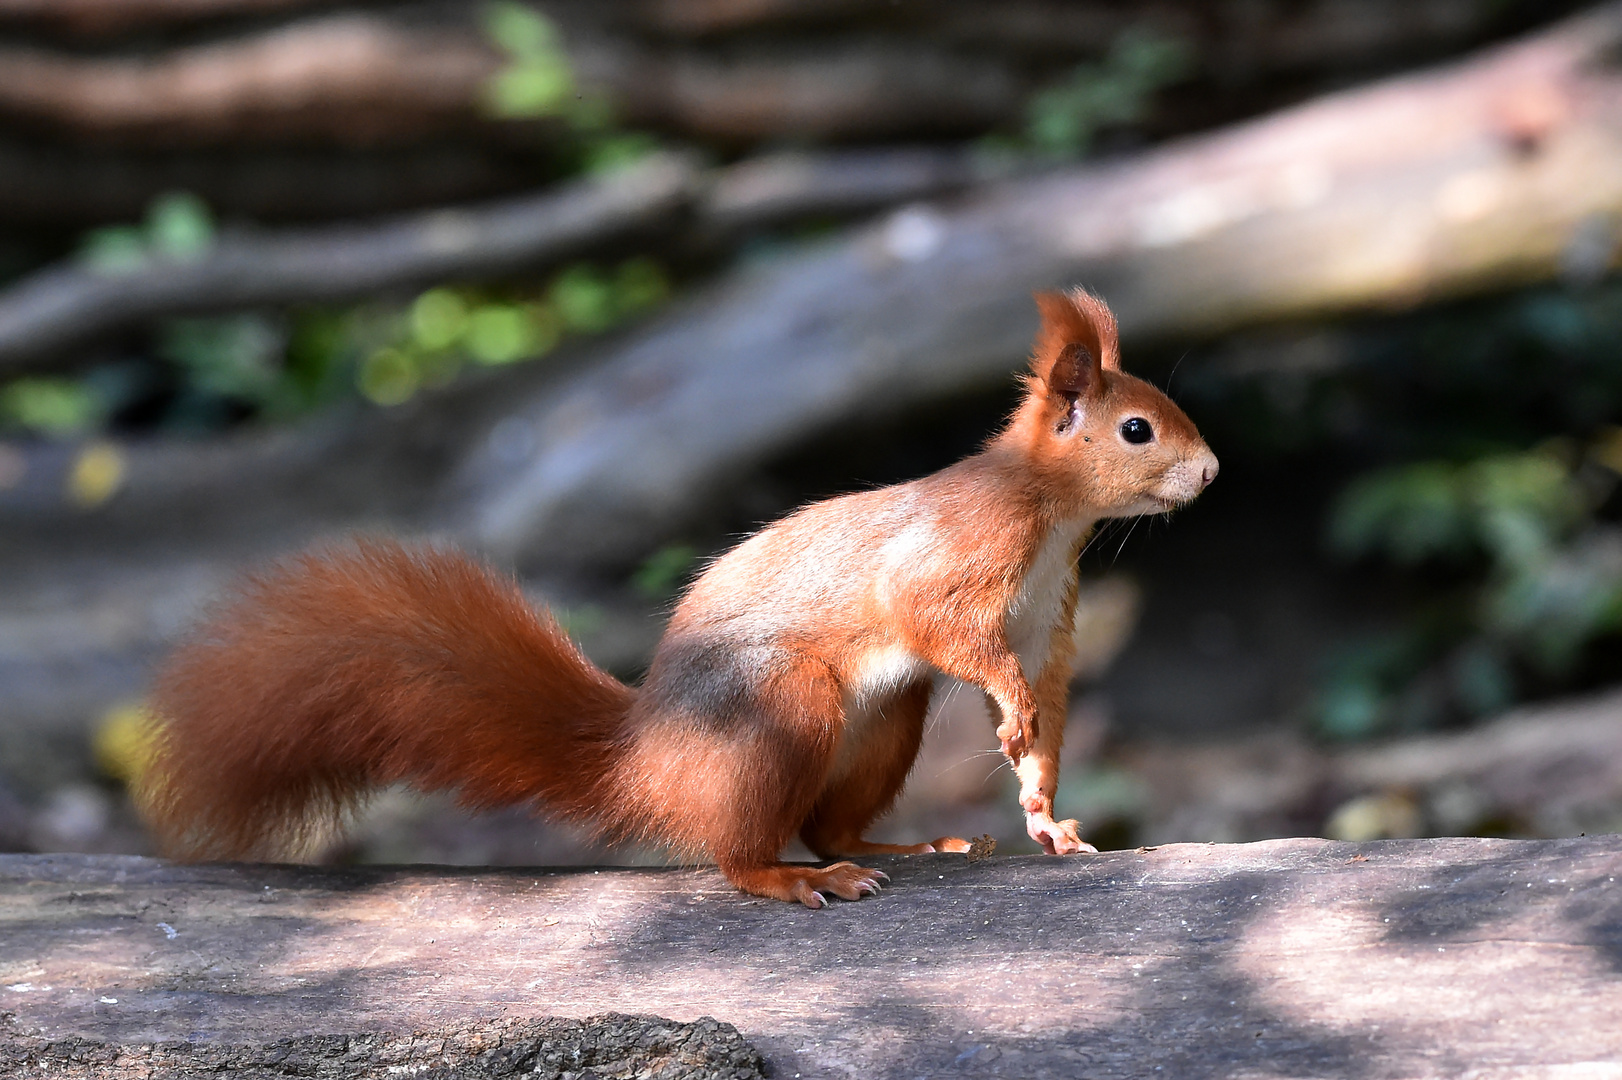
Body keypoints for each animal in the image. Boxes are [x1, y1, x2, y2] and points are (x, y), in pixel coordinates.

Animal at [139, 290, 1219, 901]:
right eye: (1135, 429)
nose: (1210, 471)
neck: (1049, 512)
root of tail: (647, 764)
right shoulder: (953, 557)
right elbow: (941, 625)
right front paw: (1007, 711)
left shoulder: (1045, 614)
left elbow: (1044, 703)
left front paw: (1045, 814)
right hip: (787, 704)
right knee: (736, 853)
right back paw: (795, 882)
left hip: (883, 722)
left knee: (829, 820)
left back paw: (912, 845)